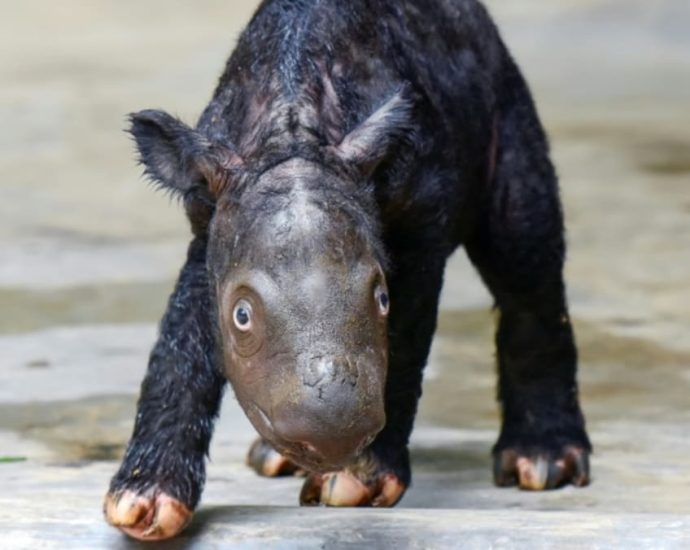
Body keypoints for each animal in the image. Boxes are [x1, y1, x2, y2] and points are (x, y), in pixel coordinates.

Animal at [105, 0, 588, 544]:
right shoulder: (211, 216)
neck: (293, 132)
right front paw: (142, 504)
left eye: (381, 298)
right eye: (241, 316)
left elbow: (405, 337)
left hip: (505, 100)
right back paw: (275, 460)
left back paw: (542, 464)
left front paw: (355, 483)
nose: (331, 440)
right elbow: (181, 338)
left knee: (525, 256)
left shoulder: (421, 217)